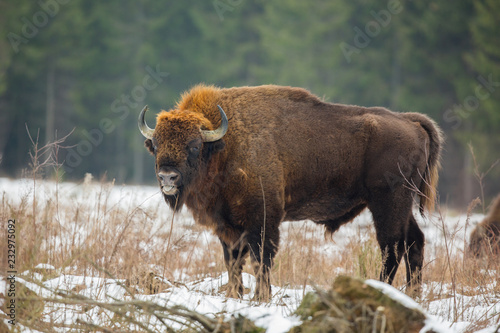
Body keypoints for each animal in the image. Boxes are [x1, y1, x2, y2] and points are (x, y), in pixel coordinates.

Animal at [138, 83, 442, 298]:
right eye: (156, 143)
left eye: (193, 146)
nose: (167, 176)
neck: (225, 145)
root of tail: (411, 121)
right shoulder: (228, 227)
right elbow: (232, 262)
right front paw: (235, 295)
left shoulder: (263, 219)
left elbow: (261, 259)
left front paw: (261, 297)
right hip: (401, 205)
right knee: (414, 242)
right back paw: (413, 295)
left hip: (388, 202)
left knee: (392, 247)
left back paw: (381, 291)